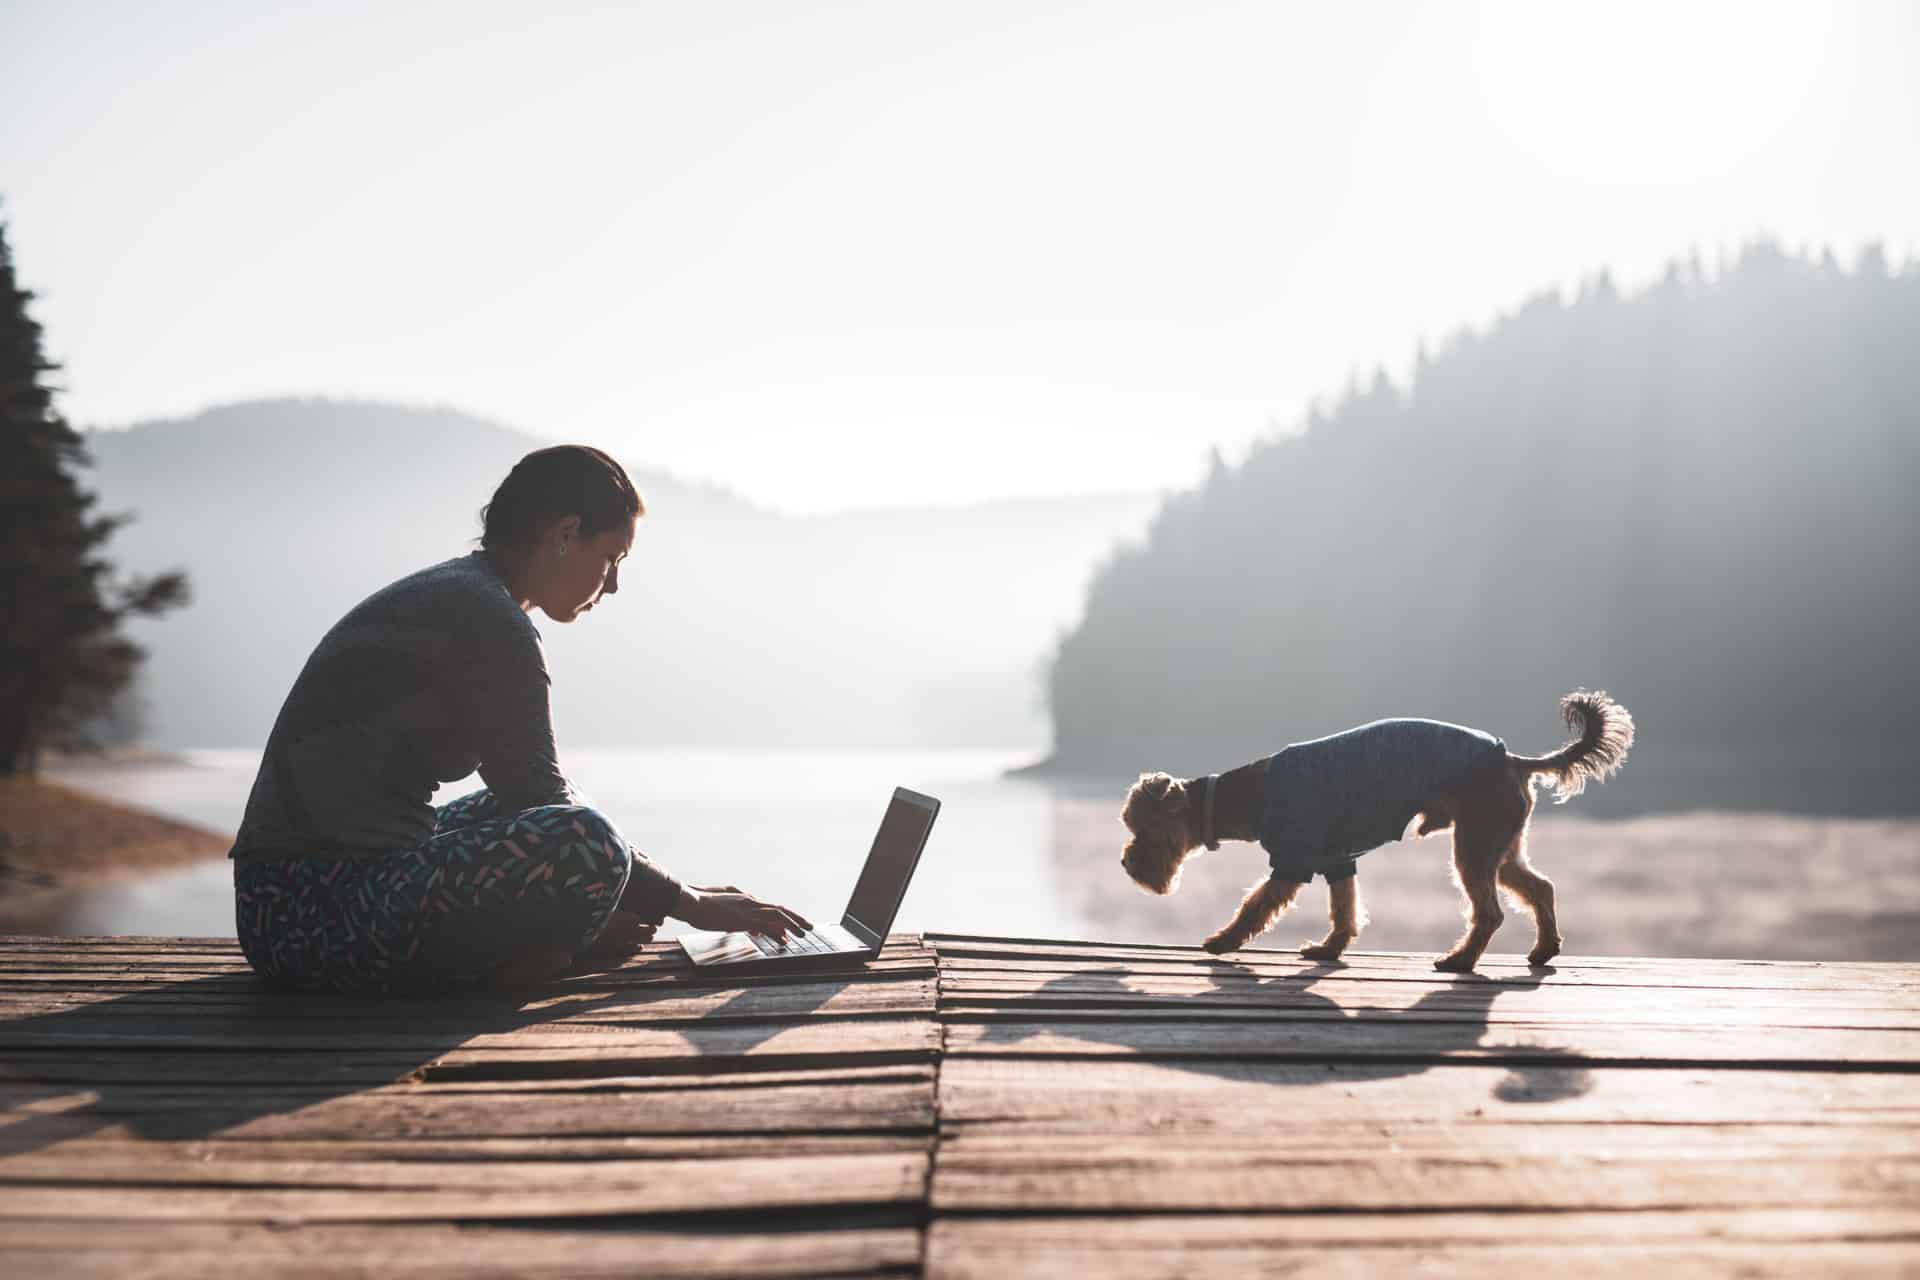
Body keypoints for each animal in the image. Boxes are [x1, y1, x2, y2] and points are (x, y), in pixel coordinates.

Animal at [1121, 690, 1635, 971]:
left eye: (1144, 830)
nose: (1127, 864)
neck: (1244, 795)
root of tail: (1512, 760)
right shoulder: (1337, 861)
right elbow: (1344, 912)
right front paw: (1328, 950)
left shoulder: (1291, 862)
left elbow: (1254, 907)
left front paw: (1222, 941)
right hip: (1499, 847)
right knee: (1539, 887)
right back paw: (1543, 949)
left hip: (1473, 847)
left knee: (1489, 913)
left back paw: (1460, 960)